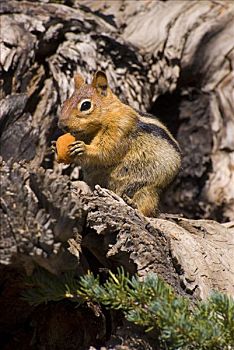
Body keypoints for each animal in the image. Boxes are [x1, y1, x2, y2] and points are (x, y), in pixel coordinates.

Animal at [58, 71, 181, 216]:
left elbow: (106, 151)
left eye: (85, 105)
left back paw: (133, 205)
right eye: (64, 102)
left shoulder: (121, 126)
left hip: (149, 188)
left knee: (147, 206)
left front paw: (84, 148)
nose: (61, 124)